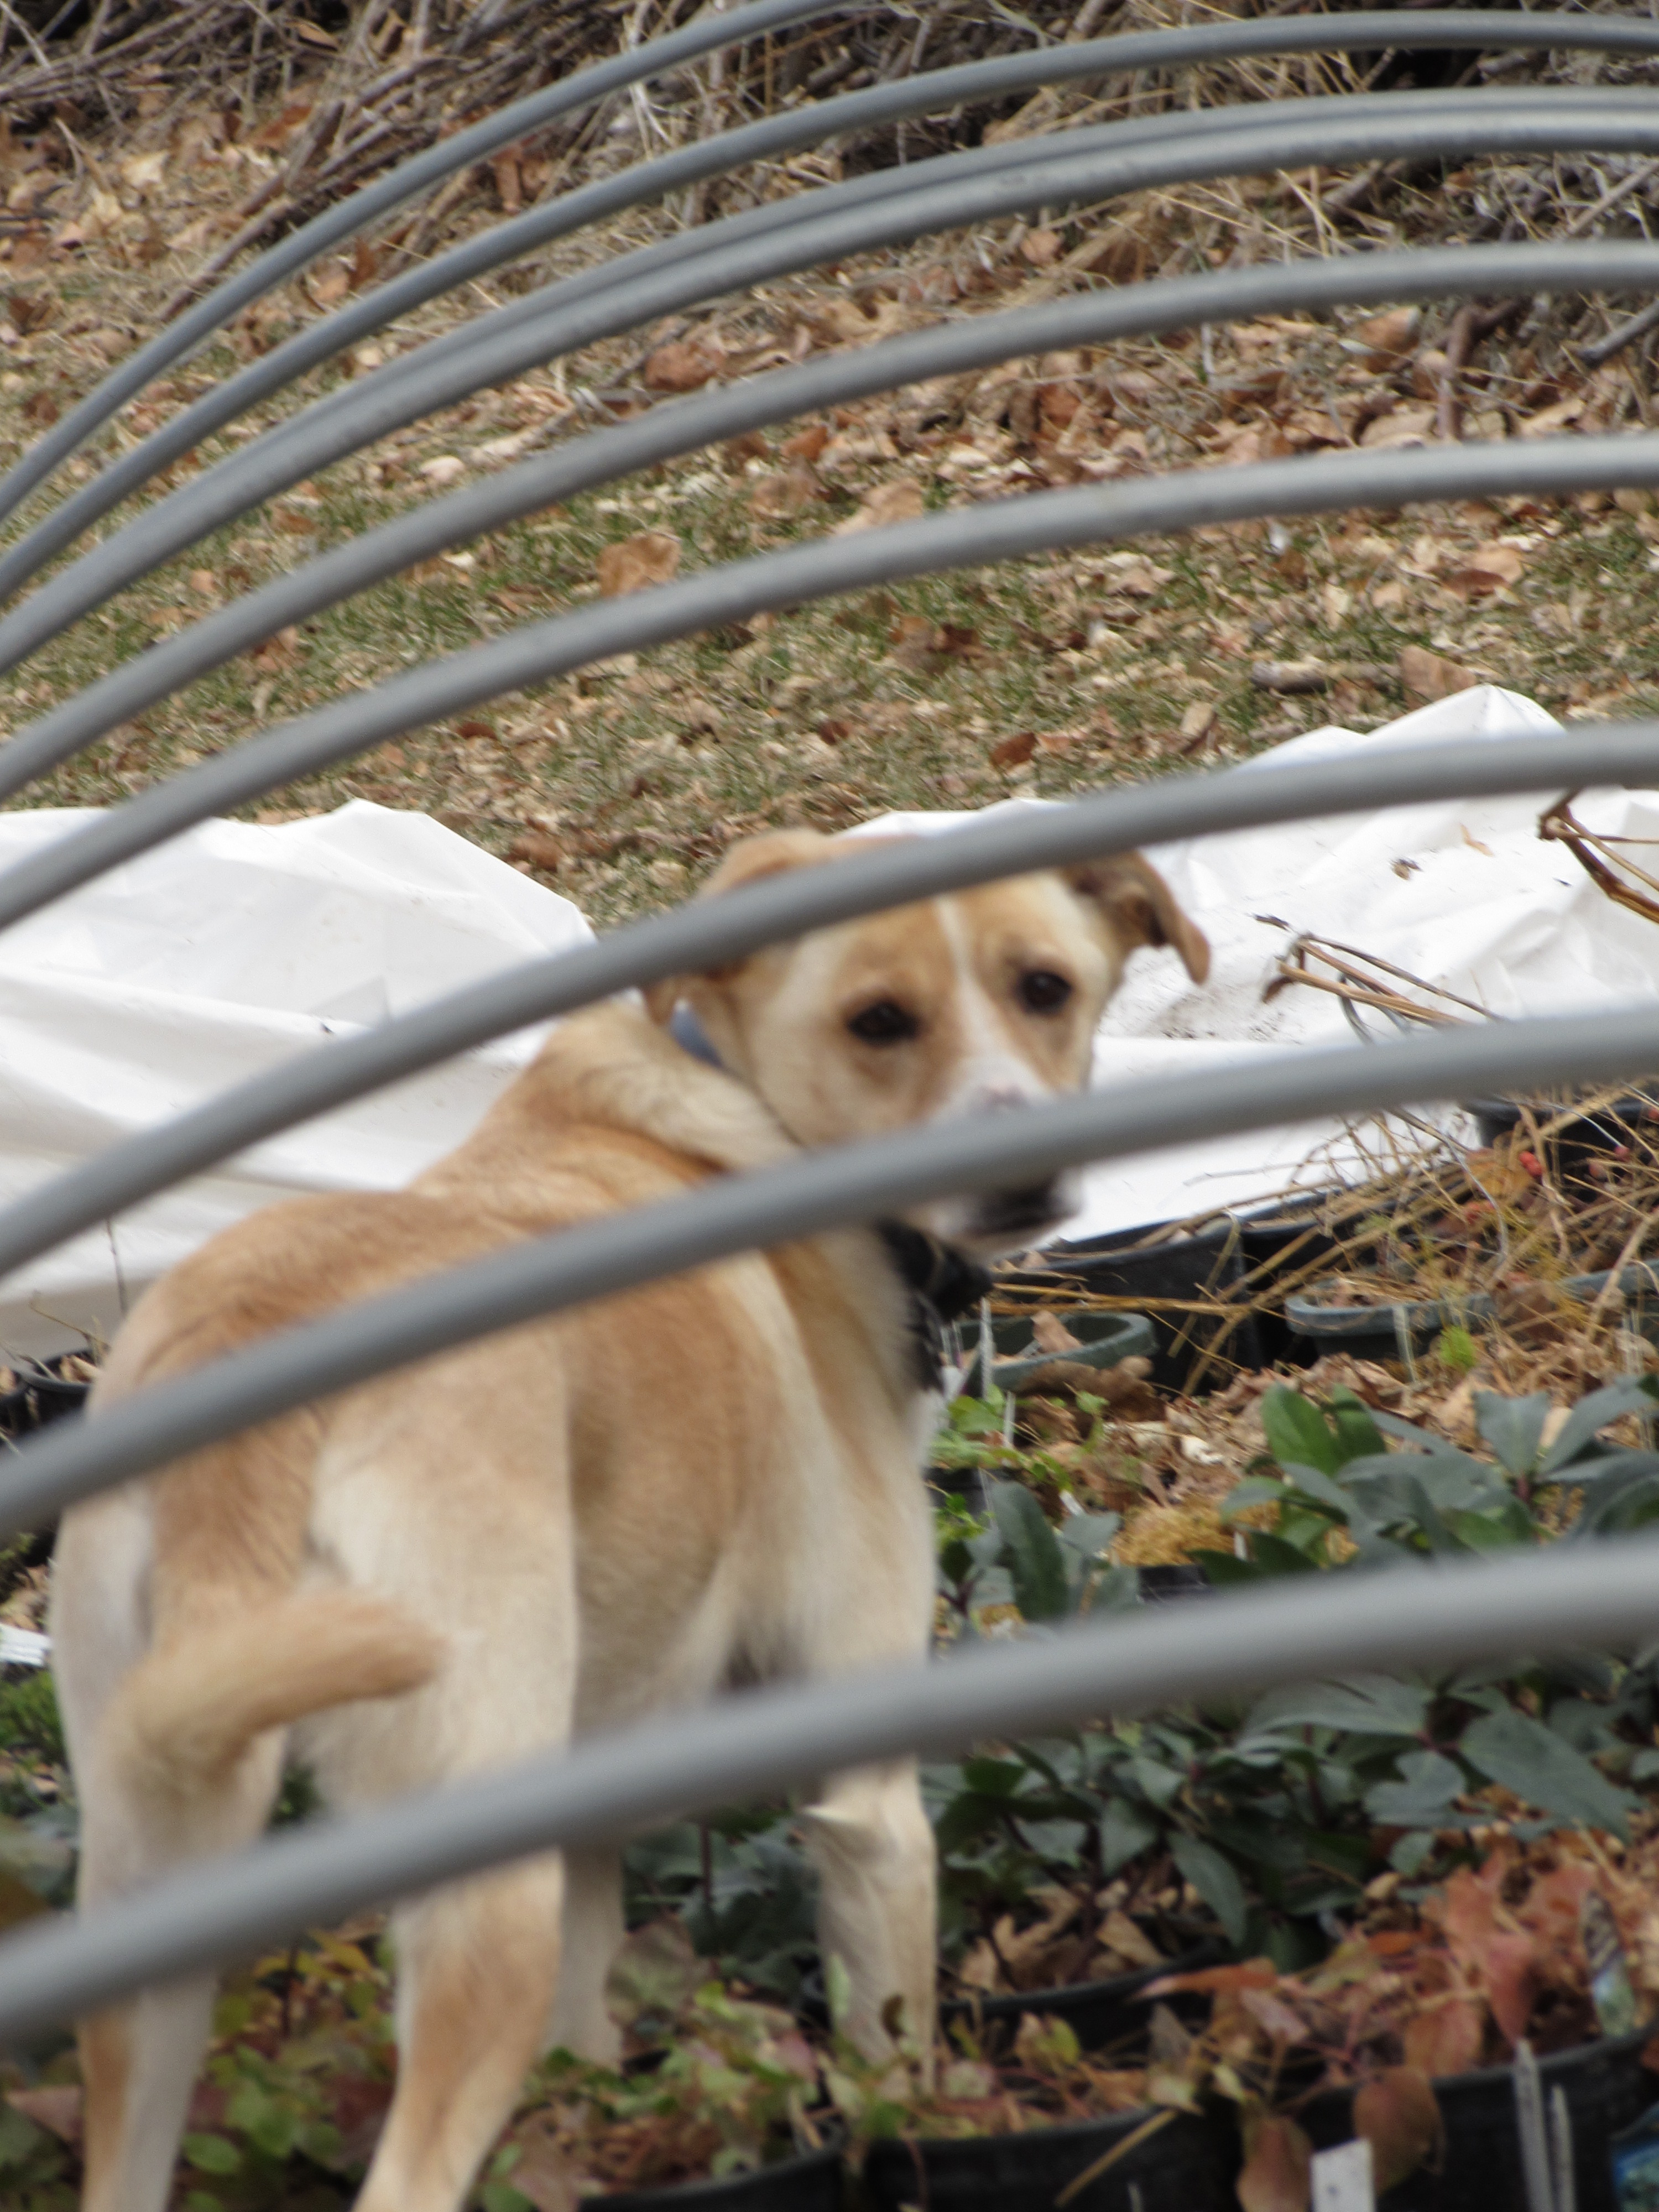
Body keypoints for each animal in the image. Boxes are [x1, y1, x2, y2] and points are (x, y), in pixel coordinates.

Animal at [49, 827, 1212, 2212]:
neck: (742, 1107)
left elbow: (589, 2040)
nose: (1021, 1169)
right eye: (878, 1019)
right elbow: (896, 2062)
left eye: (1044, 987)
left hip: (152, 1892)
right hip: (480, 1899)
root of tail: (256, 1360)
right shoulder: (870, 1813)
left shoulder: (591, 1830)